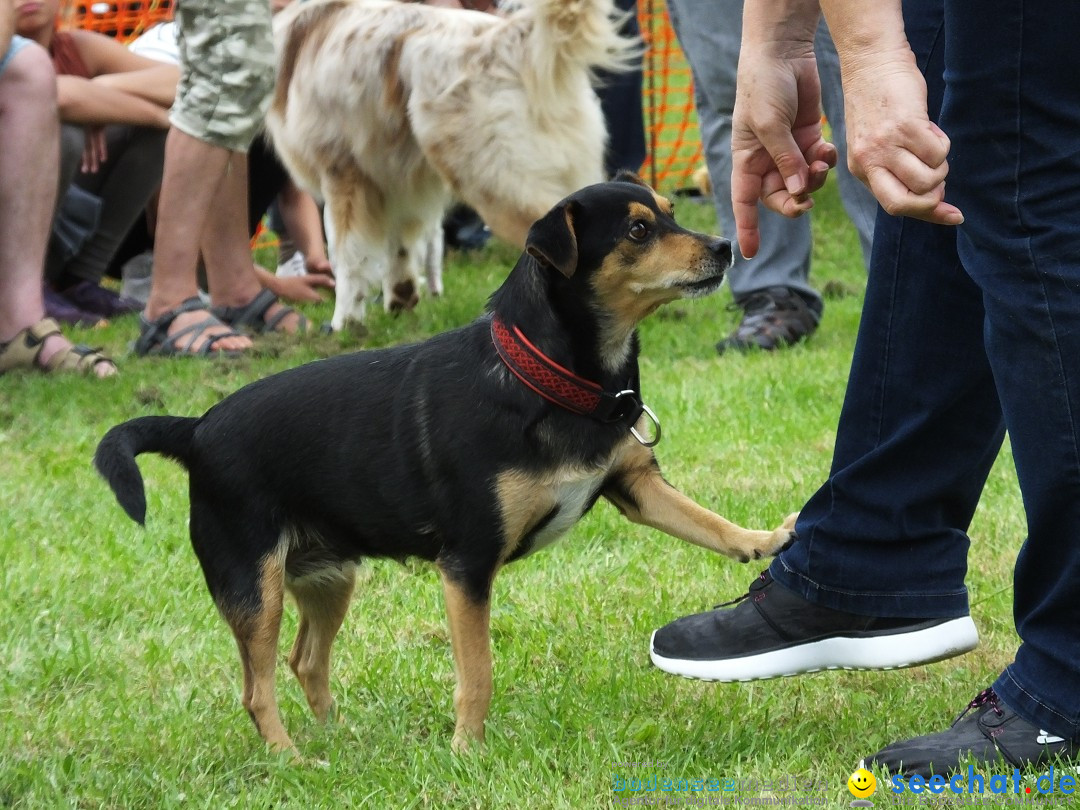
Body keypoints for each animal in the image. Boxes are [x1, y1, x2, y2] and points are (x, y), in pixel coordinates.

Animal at [97, 174, 799, 760]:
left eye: (672, 212)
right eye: (637, 231)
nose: (726, 247)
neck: (553, 376)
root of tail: (197, 430)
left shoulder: (634, 485)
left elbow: (706, 523)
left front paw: (764, 539)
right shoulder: (467, 567)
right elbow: (477, 673)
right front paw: (467, 752)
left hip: (327, 577)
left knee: (306, 662)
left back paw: (341, 738)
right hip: (254, 588)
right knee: (257, 688)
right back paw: (292, 758)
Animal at [267, 0, 630, 328]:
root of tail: (510, 37)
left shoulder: (343, 175)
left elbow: (347, 257)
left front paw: (344, 321)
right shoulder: (394, 184)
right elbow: (399, 248)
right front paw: (400, 300)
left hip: (497, 181)